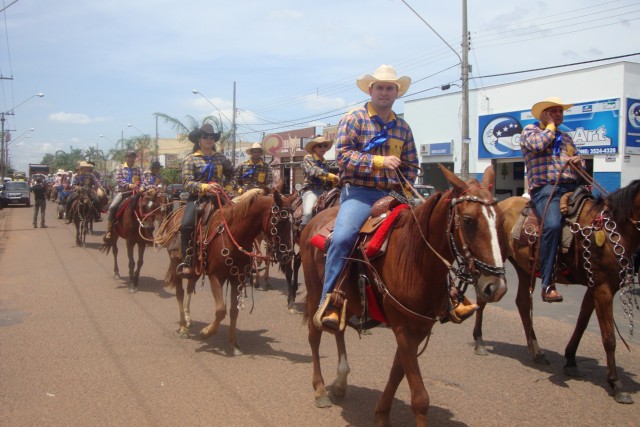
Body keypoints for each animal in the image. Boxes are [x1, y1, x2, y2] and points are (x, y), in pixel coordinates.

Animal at [158, 190, 292, 354]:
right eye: (279, 221)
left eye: (293, 223)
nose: (288, 254)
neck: (234, 235)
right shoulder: (216, 277)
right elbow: (221, 310)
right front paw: (206, 332)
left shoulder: (237, 278)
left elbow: (234, 311)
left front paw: (233, 343)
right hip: (176, 264)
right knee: (180, 293)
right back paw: (183, 327)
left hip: (195, 269)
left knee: (189, 287)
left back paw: (189, 319)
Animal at [298, 166, 504, 426]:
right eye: (468, 221)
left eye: (500, 220)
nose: (496, 286)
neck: (414, 258)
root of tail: (313, 222)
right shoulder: (403, 328)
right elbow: (420, 397)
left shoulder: (418, 327)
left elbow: (397, 372)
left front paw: (381, 414)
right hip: (315, 291)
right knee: (314, 336)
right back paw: (320, 390)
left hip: (345, 301)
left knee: (338, 328)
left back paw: (340, 383)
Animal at [472, 180, 640, 404]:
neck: (613, 229)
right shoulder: (603, 288)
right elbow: (609, 337)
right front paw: (617, 384)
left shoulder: (593, 287)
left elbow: (581, 324)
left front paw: (571, 360)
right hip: (492, 261)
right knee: (483, 296)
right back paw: (479, 341)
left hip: (524, 268)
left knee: (522, 303)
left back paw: (537, 351)